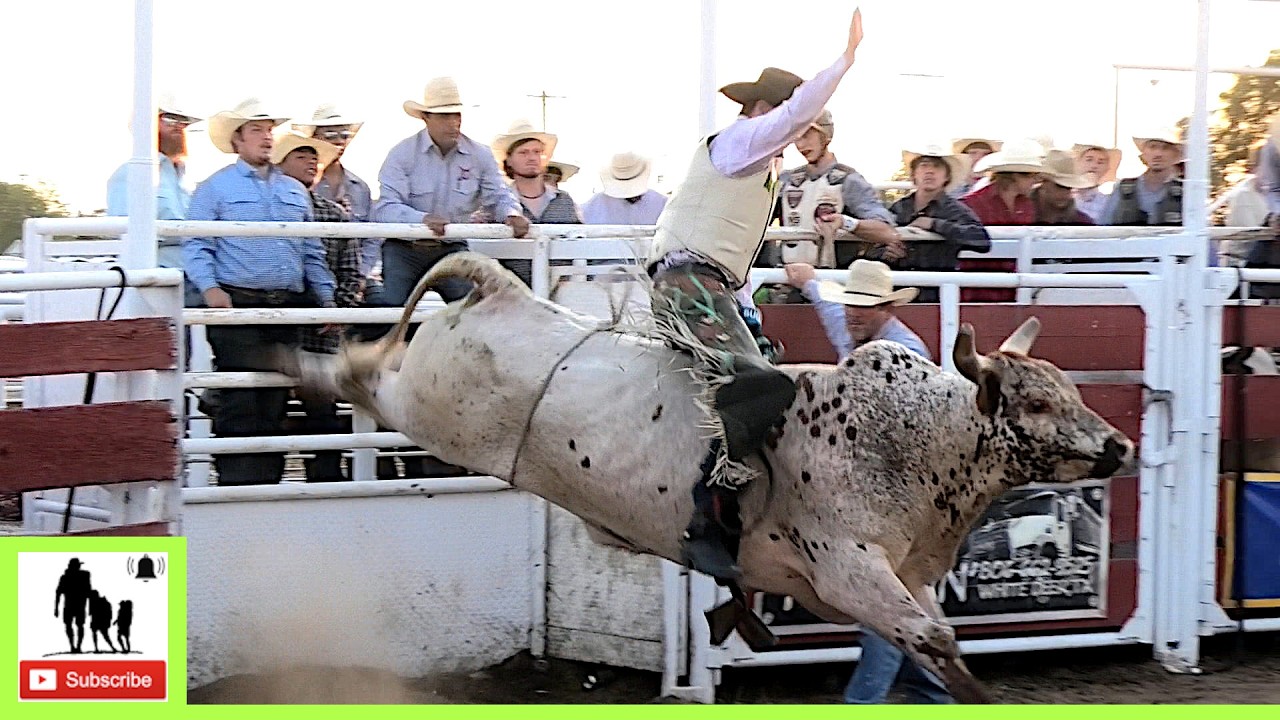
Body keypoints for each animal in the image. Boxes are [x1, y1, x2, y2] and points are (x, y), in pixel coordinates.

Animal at [289, 252, 1134, 703]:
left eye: (1069, 388)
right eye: (1033, 401)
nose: (1121, 445)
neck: (914, 438)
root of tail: (506, 288)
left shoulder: (905, 574)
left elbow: (932, 638)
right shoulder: (847, 569)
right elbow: (933, 636)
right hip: (430, 406)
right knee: (359, 376)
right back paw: (298, 359)